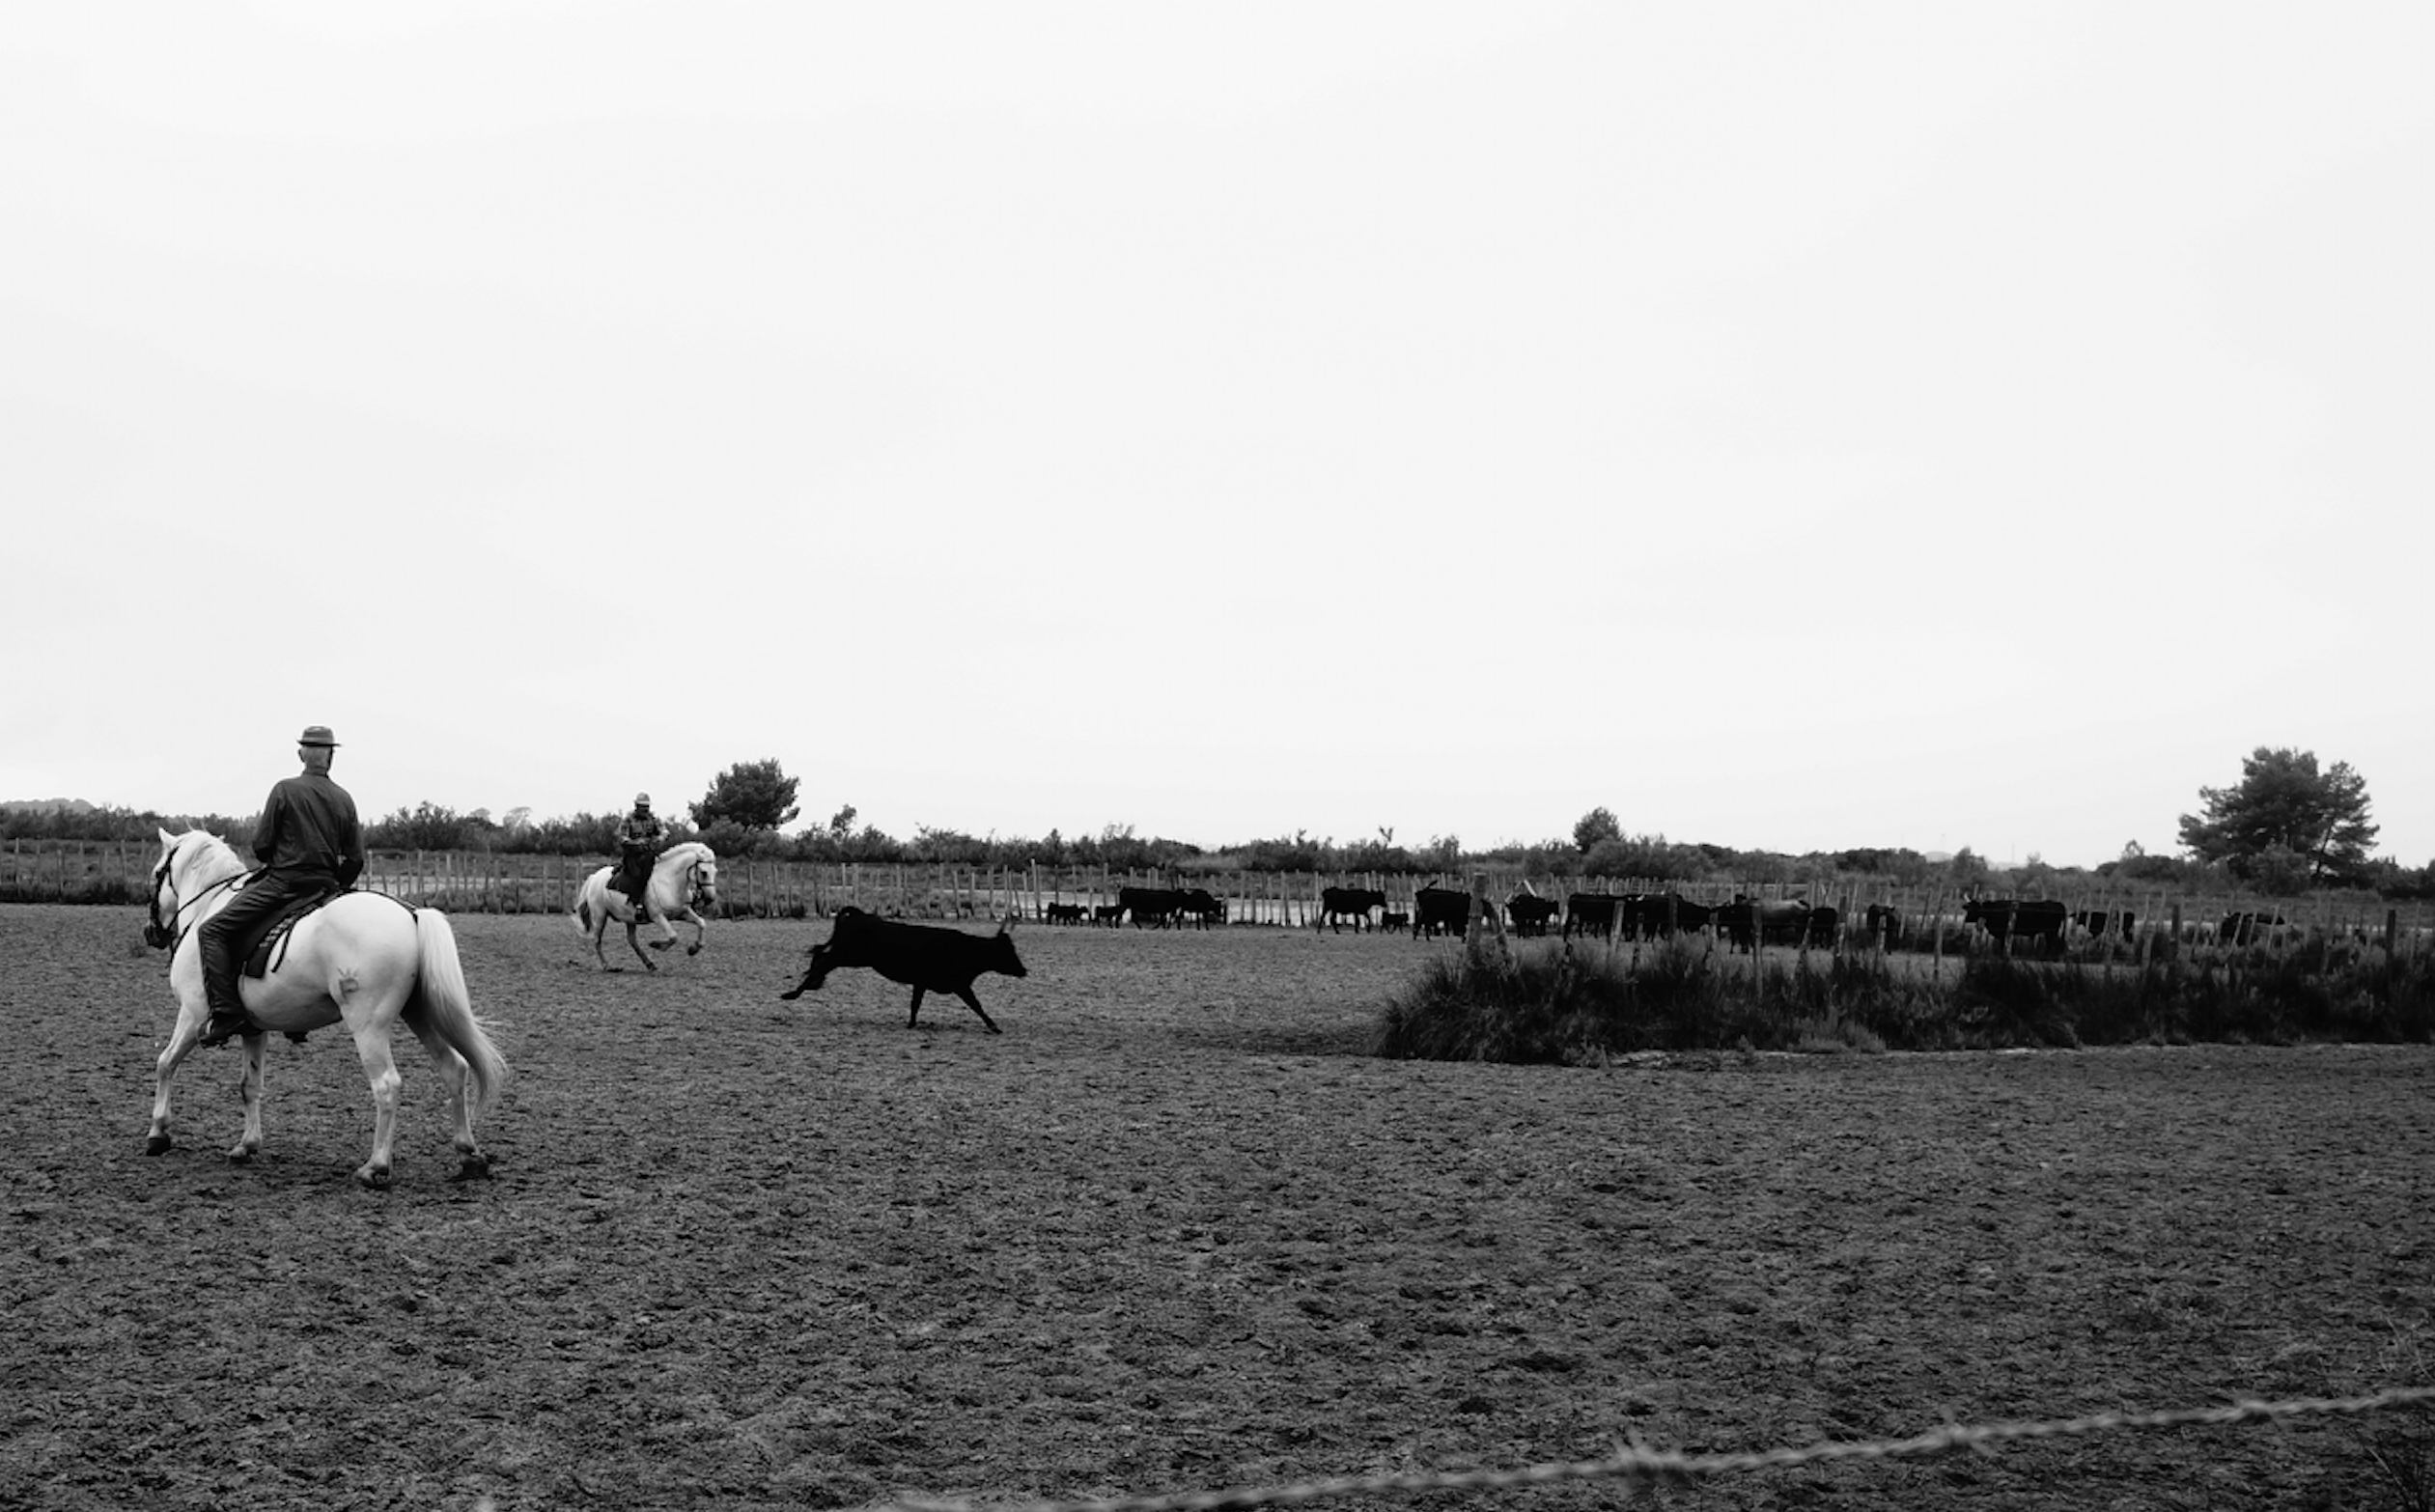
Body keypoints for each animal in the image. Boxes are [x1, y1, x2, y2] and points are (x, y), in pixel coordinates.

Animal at [143, 832, 509, 1183]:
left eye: (156, 873)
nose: (150, 933)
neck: (208, 905)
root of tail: (412, 914)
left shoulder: (192, 1016)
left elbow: (165, 1063)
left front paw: (158, 1132)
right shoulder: (253, 1029)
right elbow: (249, 1086)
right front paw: (247, 1145)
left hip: (368, 1025)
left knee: (387, 1085)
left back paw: (376, 1166)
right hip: (419, 1014)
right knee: (454, 1068)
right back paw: (468, 1156)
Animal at [572, 837, 715, 968]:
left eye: (715, 872)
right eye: (704, 872)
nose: (710, 898)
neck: (668, 881)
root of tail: (594, 877)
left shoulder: (682, 912)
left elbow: (701, 923)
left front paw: (694, 948)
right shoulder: (657, 916)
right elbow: (673, 936)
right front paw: (657, 945)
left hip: (629, 918)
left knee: (632, 941)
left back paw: (649, 963)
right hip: (599, 916)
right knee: (597, 940)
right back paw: (607, 965)